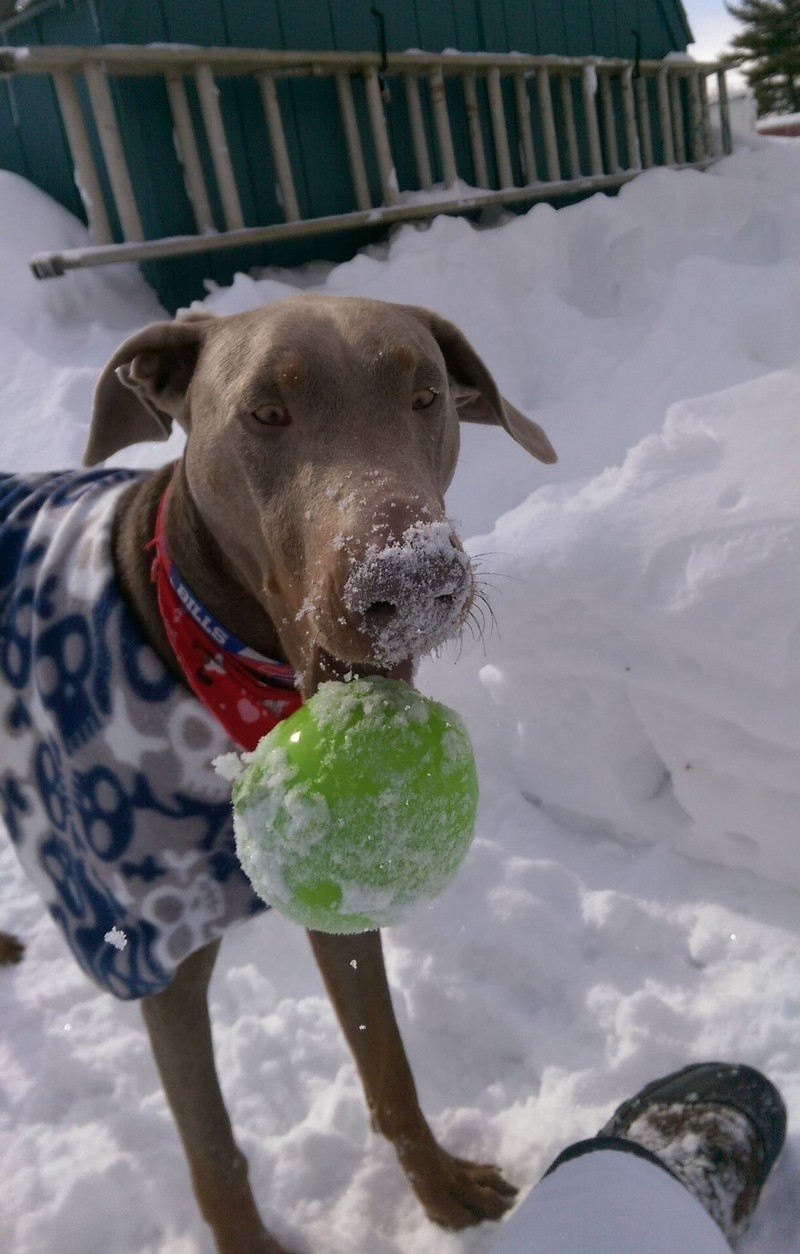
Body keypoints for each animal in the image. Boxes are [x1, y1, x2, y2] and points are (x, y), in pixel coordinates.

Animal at [0, 290, 554, 1243]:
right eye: (264, 412)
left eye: (426, 395)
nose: (413, 580)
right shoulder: (158, 961)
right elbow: (215, 1151)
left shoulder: (339, 900)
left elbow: (387, 1061)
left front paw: (440, 1187)